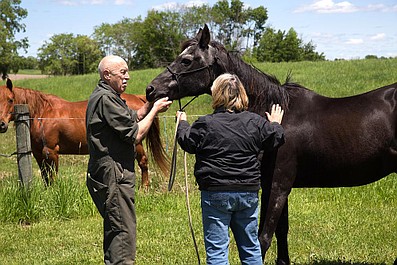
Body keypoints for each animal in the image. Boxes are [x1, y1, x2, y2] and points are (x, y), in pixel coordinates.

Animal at [0, 78, 168, 186]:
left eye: (10, 99)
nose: (1, 124)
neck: (42, 113)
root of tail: (138, 99)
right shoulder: (37, 153)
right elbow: (45, 177)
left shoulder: (51, 151)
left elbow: (53, 177)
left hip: (136, 143)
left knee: (143, 163)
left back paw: (144, 189)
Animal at [145, 24, 396, 262]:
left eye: (186, 60)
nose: (151, 90)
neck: (276, 114)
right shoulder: (272, 184)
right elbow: (281, 231)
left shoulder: (277, 185)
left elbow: (263, 237)